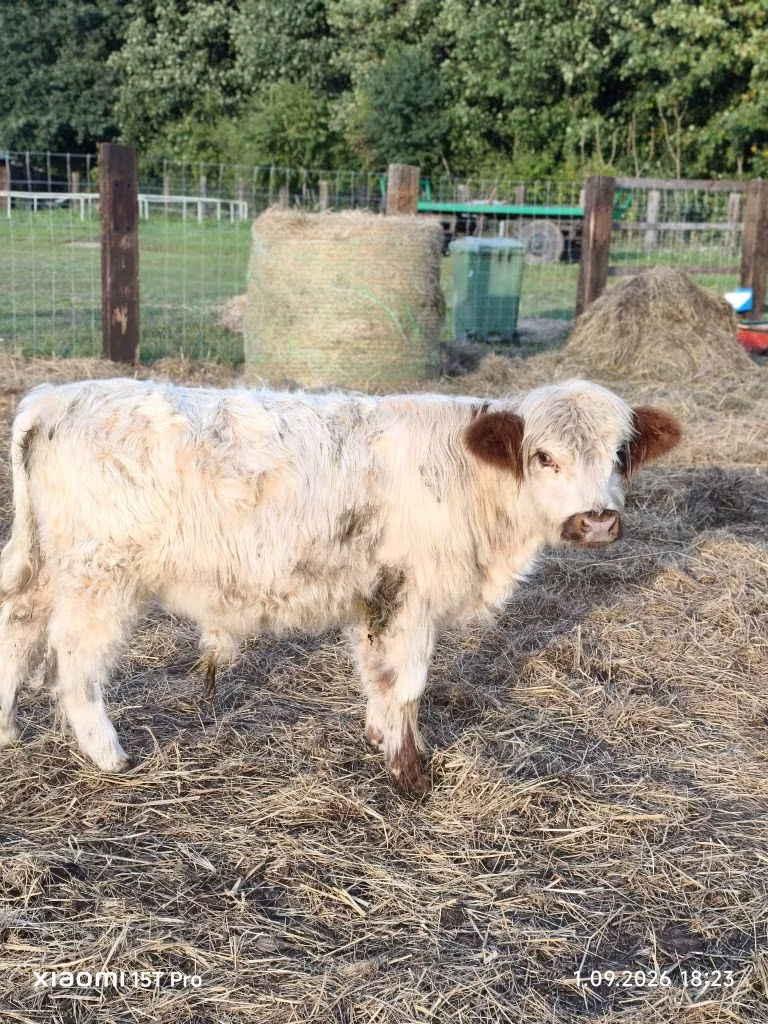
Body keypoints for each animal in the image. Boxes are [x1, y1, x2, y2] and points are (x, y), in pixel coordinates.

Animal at [0, 378, 680, 792]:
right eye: (544, 457)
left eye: (620, 454)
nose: (597, 519)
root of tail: (56, 396)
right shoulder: (407, 597)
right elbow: (406, 684)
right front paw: (410, 773)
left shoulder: (375, 599)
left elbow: (379, 680)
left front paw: (384, 740)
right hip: (98, 577)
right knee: (74, 664)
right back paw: (109, 755)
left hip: (48, 568)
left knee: (17, 629)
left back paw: (6, 731)